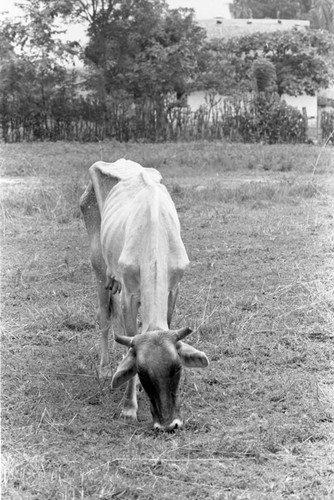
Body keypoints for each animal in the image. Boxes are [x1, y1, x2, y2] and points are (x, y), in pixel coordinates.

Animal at [79, 159, 207, 430]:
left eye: (177, 369)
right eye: (143, 372)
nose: (169, 425)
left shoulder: (173, 287)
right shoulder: (128, 294)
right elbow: (128, 334)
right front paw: (129, 407)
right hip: (99, 267)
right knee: (104, 317)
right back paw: (104, 368)